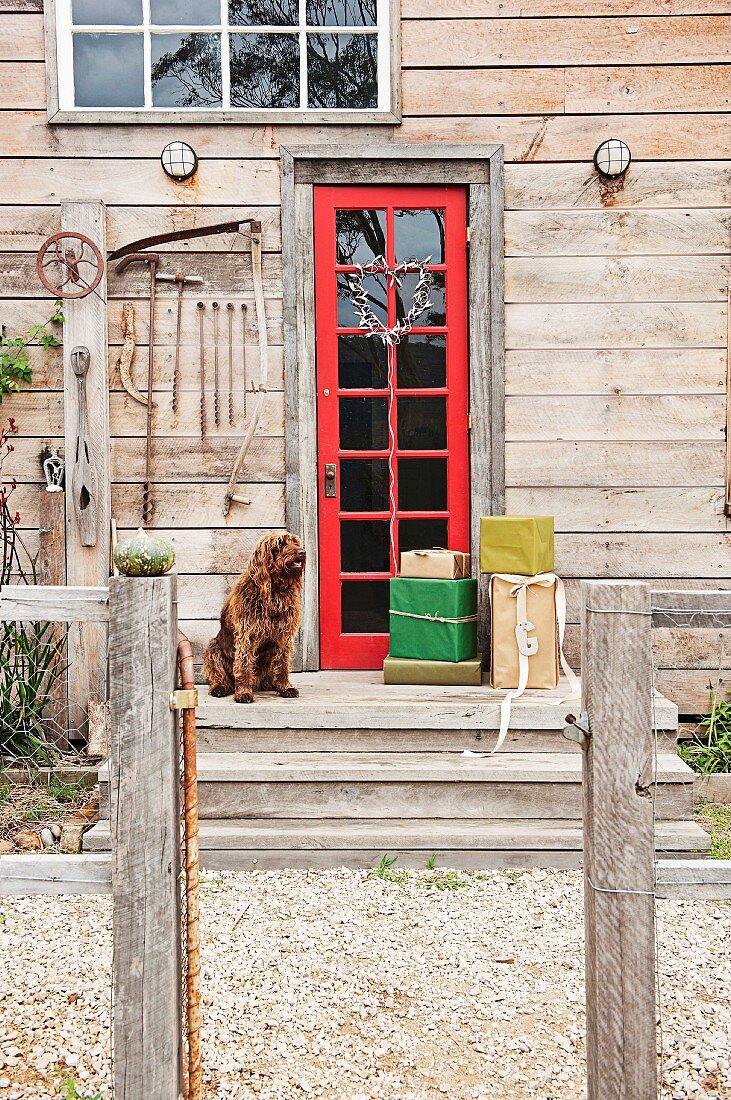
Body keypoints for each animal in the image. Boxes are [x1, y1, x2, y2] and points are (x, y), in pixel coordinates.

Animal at [202, 532, 305, 704]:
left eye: (295, 542)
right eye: (281, 543)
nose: (302, 552)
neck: (273, 590)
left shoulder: (284, 636)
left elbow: (283, 664)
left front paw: (285, 687)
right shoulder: (246, 635)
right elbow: (243, 665)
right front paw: (243, 692)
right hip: (213, 646)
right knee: (220, 678)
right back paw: (220, 688)